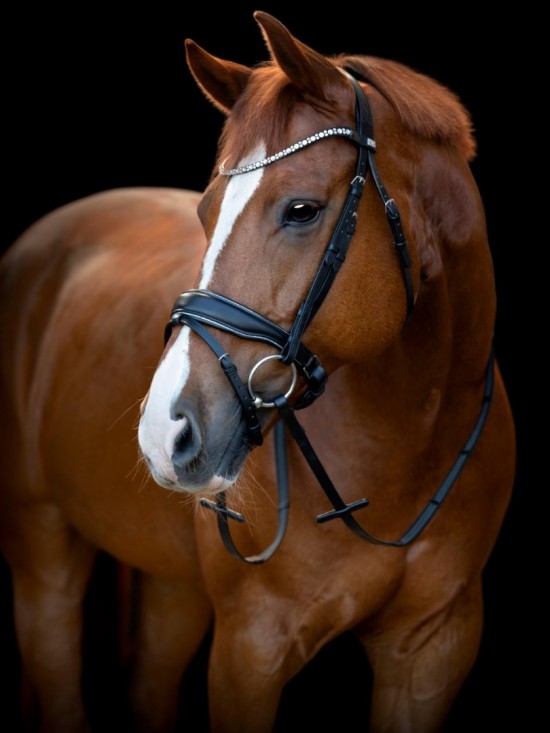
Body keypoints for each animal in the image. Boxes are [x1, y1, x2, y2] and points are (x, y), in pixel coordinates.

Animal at [136, 10, 516, 733]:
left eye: (302, 209)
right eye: (205, 210)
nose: (164, 434)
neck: (404, 443)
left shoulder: (433, 648)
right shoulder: (249, 650)